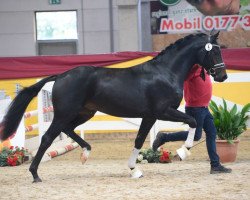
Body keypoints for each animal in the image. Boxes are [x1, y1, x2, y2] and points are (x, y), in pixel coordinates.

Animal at [0, 32, 227, 182]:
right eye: (213, 52)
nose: (223, 76)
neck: (165, 72)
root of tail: (62, 75)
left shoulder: (149, 116)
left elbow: (139, 140)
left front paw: (134, 170)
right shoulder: (162, 111)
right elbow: (193, 121)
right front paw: (184, 150)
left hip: (85, 112)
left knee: (68, 129)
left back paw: (85, 153)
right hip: (65, 113)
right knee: (48, 138)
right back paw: (35, 174)